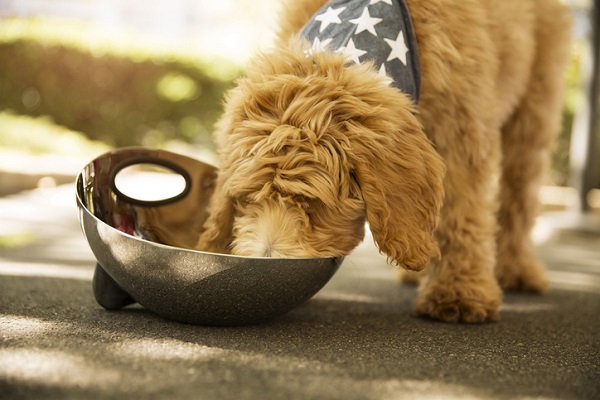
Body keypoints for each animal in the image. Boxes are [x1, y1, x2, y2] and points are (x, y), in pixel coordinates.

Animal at [197, 0, 572, 322]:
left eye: (313, 205)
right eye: (247, 199)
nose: (266, 263)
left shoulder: (461, 133)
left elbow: (462, 216)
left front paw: (460, 292)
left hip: (533, 113)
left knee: (518, 199)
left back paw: (517, 269)